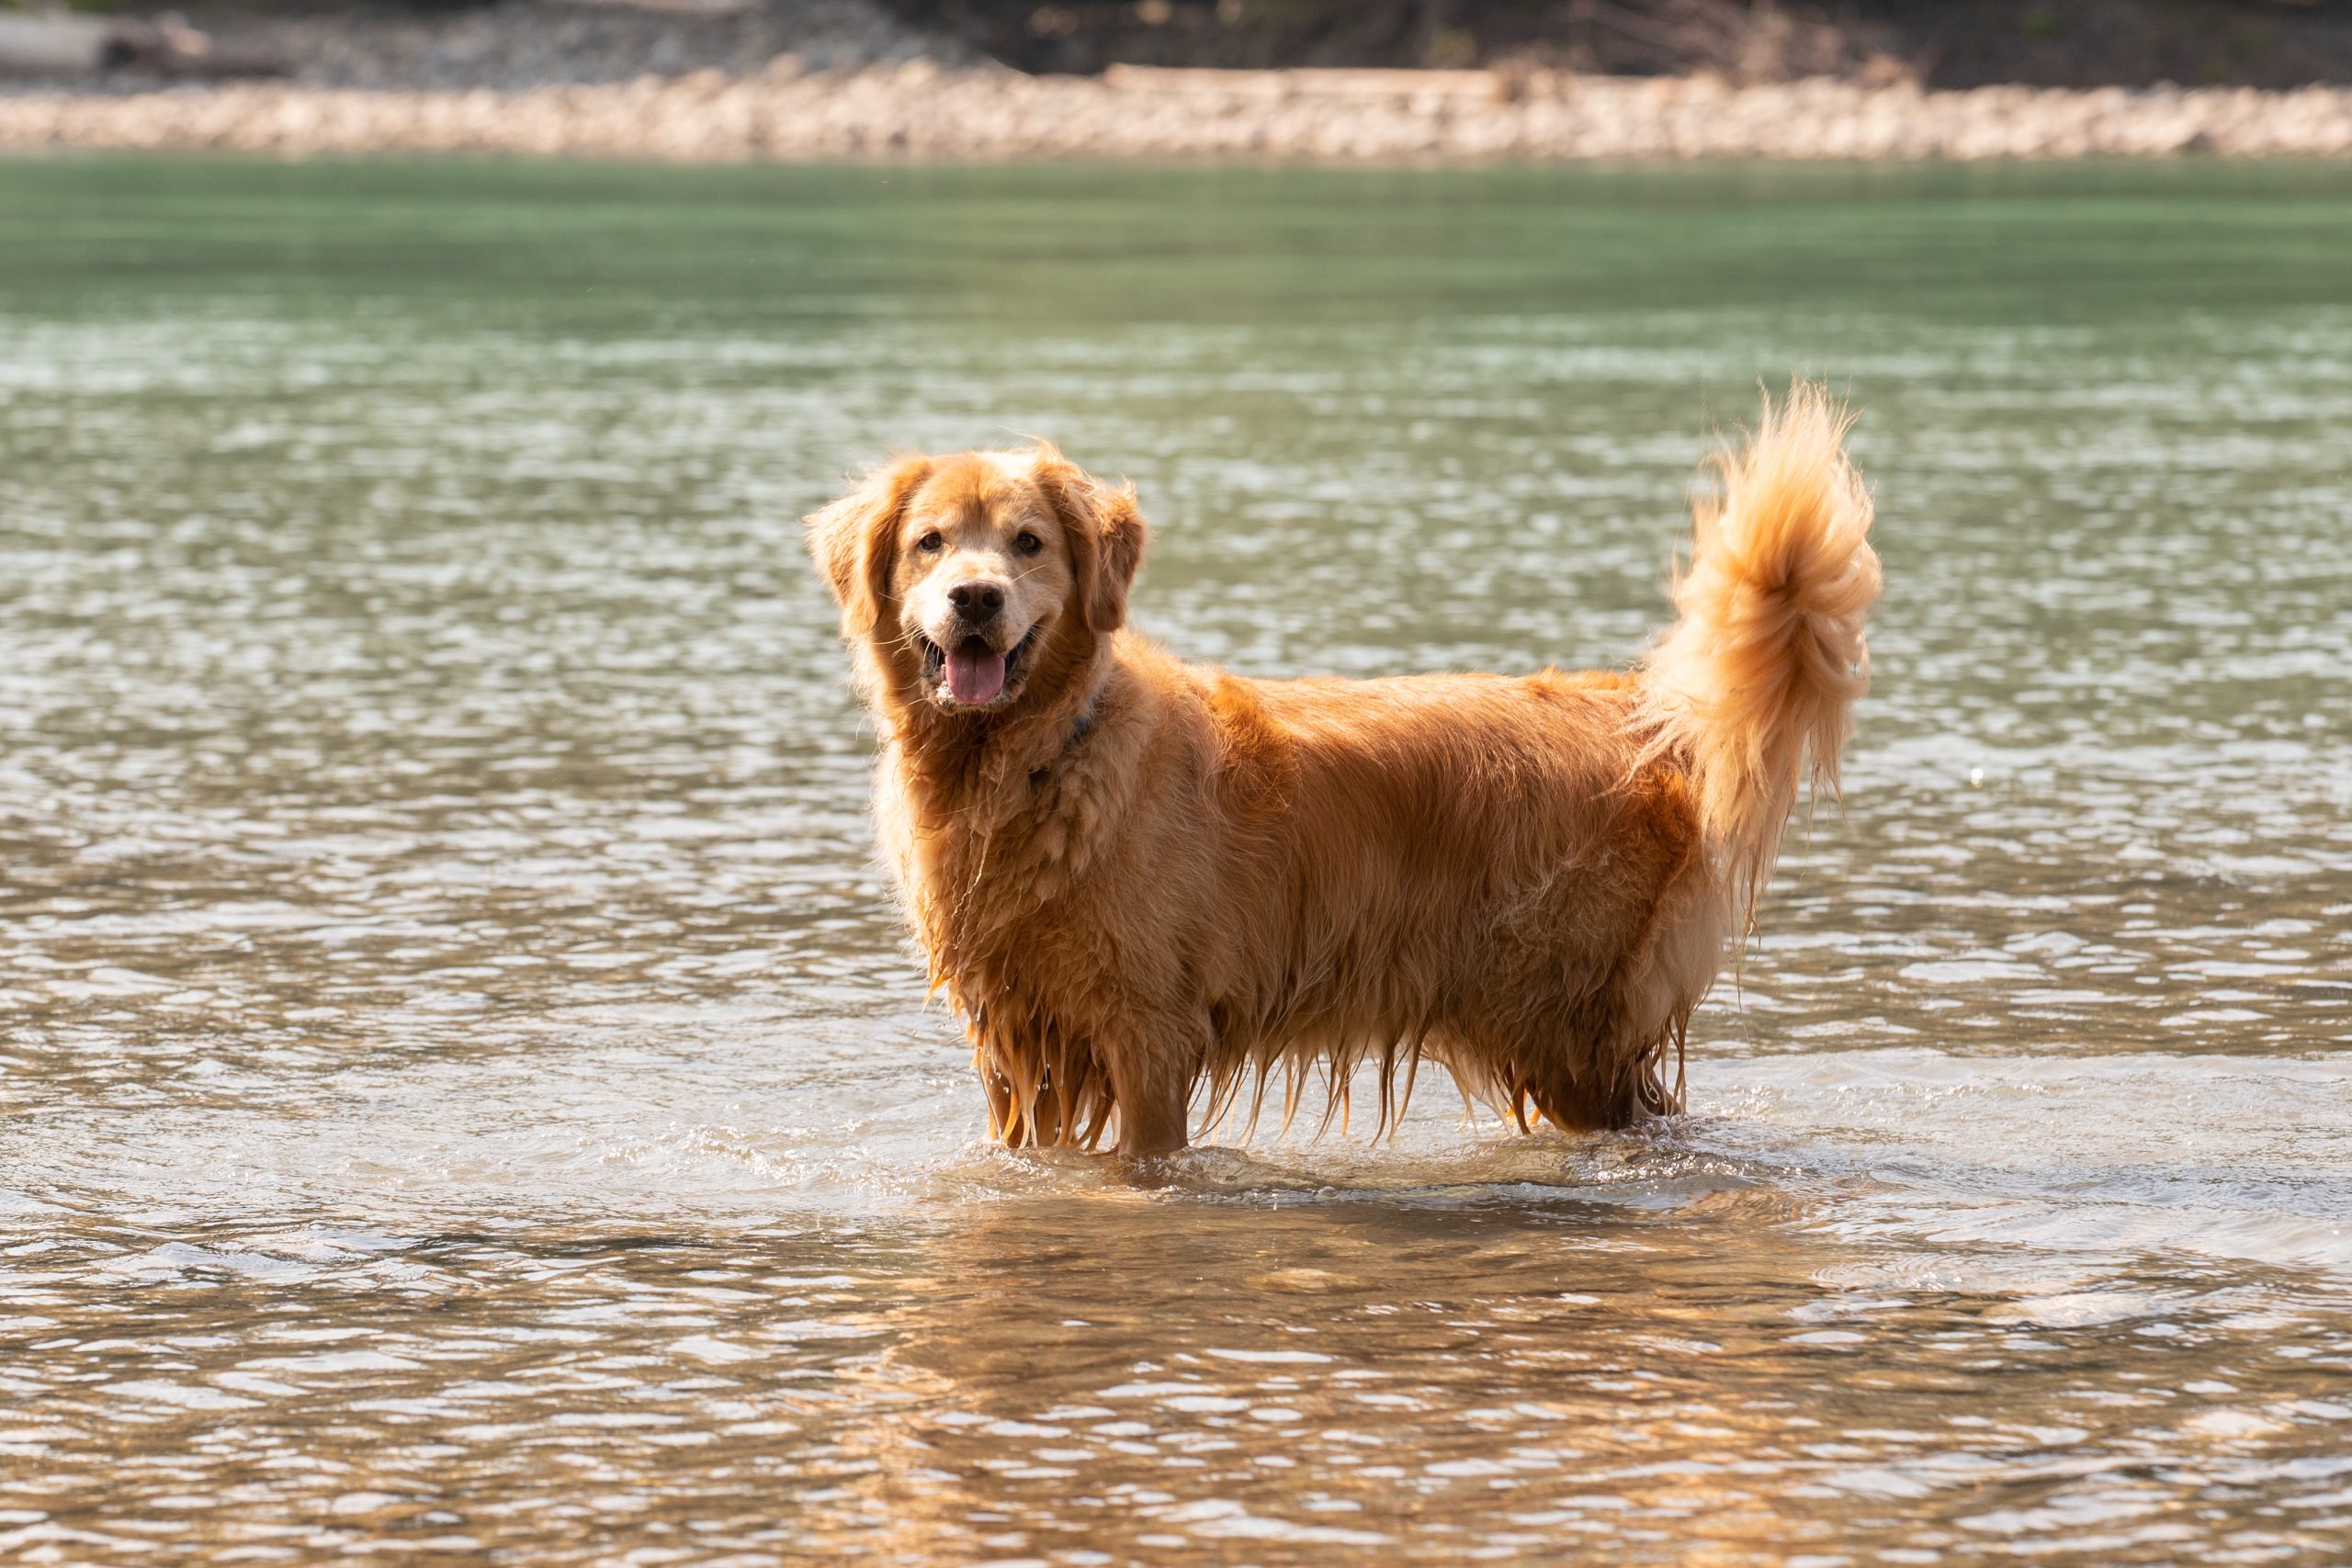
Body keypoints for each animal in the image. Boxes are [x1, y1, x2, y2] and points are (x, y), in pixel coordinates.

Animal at [804, 385, 1871, 1161]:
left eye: (1027, 542)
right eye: (931, 542)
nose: (975, 599)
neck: (1030, 764)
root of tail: (1640, 713)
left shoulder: (1148, 1033)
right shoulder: (1014, 1044)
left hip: (1570, 1028)